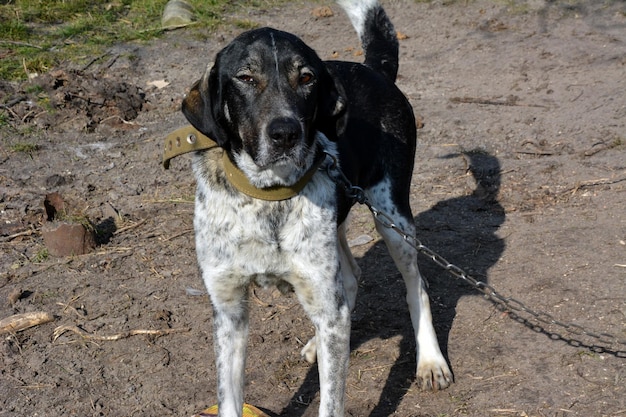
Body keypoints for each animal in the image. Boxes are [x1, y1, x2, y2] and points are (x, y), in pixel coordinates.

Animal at [178, 0, 450, 416]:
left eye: (306, 78)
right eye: (245, 77)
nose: (286, 133)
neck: (267, 196)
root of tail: (372, 69)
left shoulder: (326, 300)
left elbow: (331, 401)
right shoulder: (229, 311)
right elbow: (230, 399)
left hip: (393, 219)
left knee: (415, 285)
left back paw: (430, 361)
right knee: (350, 278)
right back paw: (317, 344)